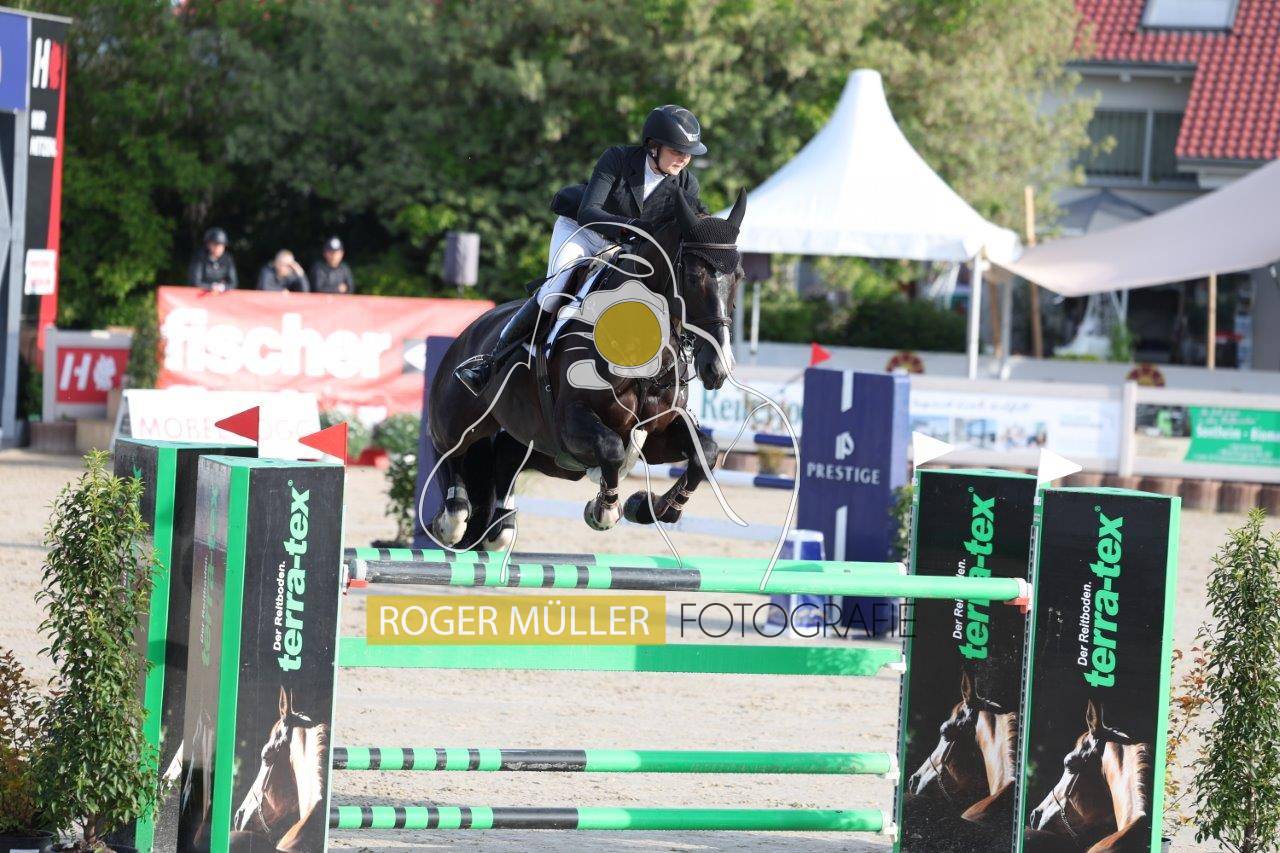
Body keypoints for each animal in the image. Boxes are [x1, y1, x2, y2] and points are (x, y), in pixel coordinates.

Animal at [426, 190, 747, 551]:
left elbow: (706, 452)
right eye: (693, 278)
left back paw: (500, 525)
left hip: (540, 448)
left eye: (739, 277)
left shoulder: (657, 432)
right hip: (458, 419)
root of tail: (470, 328)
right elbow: (610, 449)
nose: (718, 366)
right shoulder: (571, 421)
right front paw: (604, 511)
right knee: (449, 450)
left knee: (505, 457)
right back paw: (452, 517)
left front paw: (651, 508)